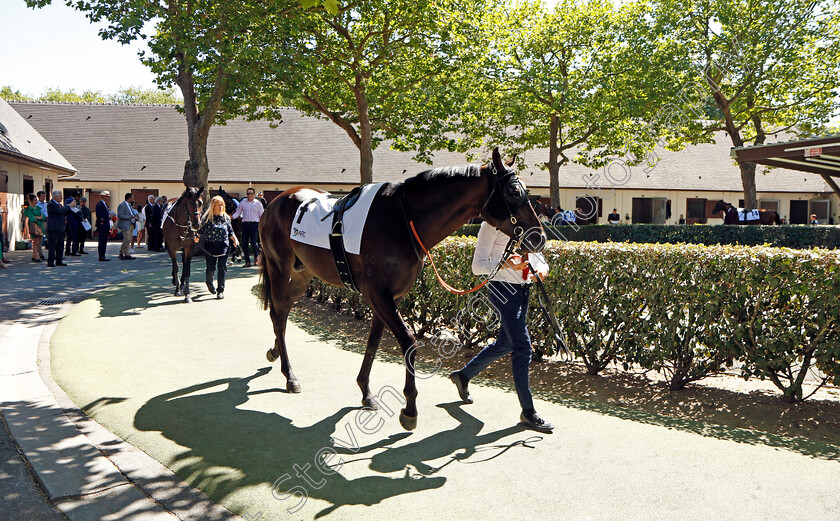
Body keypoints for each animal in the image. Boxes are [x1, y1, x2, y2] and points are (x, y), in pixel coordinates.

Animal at [258, 147, 544, 430]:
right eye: (514, 191)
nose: (539, 236)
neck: (403, 219)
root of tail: (275, 202)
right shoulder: (378, 294)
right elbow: (408, 341)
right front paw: (409, 409)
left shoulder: (386, 297)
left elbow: (373, 342)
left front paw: (366, 392)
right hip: (279, 269)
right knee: (279, 315)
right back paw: (290, 375)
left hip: (303, 273)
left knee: (280, 313)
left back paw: (274, 351)